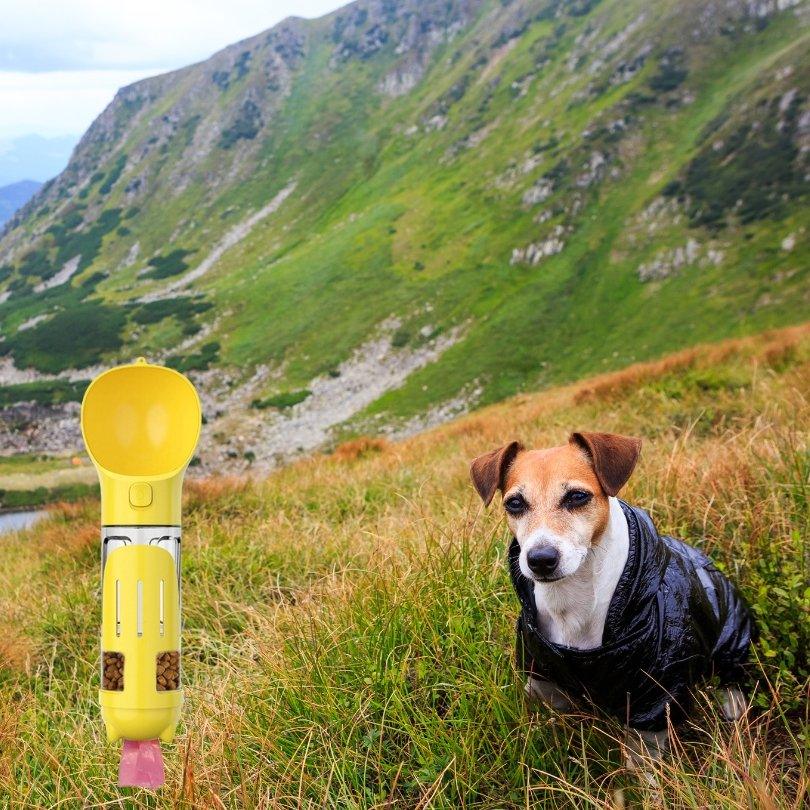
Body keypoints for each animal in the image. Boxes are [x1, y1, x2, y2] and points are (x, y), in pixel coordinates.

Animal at [468, 430, 752, 764]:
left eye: (577, 496)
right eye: (514, 503)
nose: (540, 559)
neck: (572, 600)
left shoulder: (654, 695)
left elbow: (642, 760)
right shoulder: (541, 673)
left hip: (732, 634)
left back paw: (732, 700)